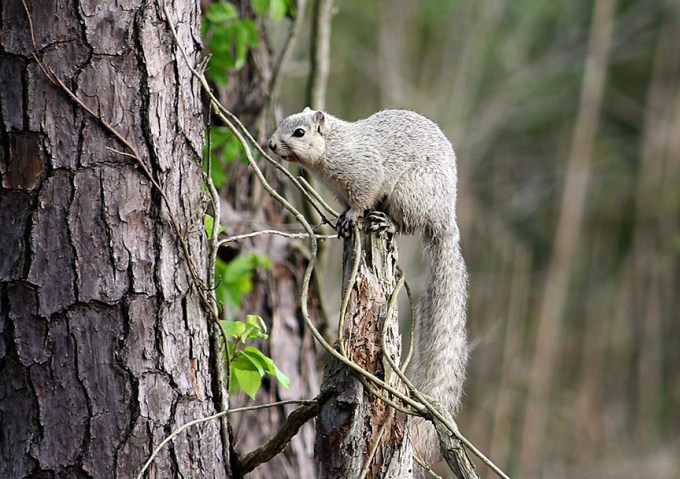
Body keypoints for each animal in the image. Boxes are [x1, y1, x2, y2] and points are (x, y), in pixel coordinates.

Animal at [268, 108, 468, 458]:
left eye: (299, 133)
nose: (270, 144)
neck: (333, 148)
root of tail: (444, 218)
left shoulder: (365, 174)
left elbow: (362, 200)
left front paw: (352, 217)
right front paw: (342, 219)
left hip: (408, 193)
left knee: (406, 224)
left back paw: (385, 222)